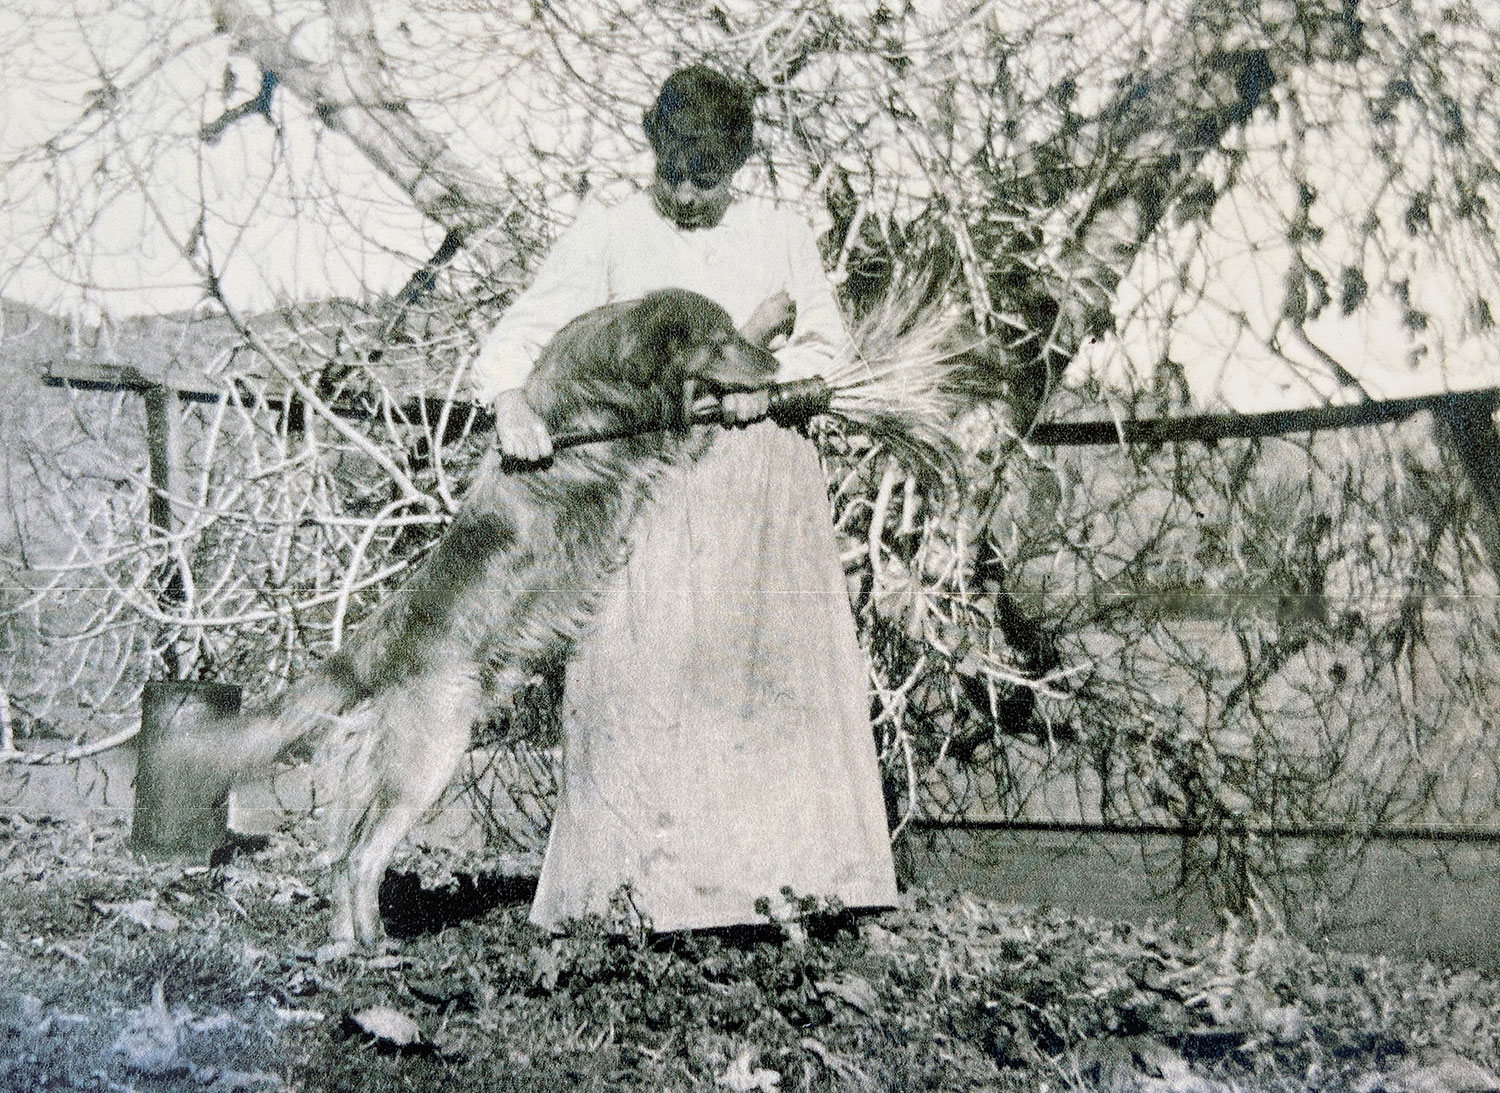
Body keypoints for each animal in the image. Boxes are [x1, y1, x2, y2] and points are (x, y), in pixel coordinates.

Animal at [170, 289, 780, 947]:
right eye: (719, 341)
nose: (775, 364)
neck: (604, 373)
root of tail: (369, 647)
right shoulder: (659, 439)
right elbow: (693, 421)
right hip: (429, 755)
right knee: (363, 855)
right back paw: (377, 944)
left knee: (342, 854)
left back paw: (350, 941)